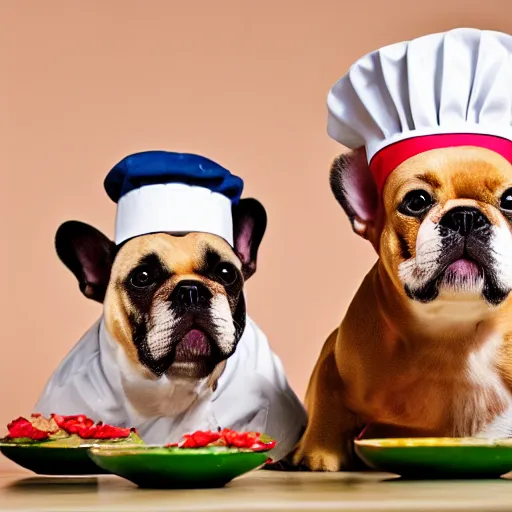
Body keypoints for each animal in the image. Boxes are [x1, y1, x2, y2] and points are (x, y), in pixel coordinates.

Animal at [292, 146, 512, 470]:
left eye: (510, 200)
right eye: (416, 201)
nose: (465, 216)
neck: (455, 332)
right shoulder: (334, 362)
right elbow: (327, 400)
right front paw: (317, 454)